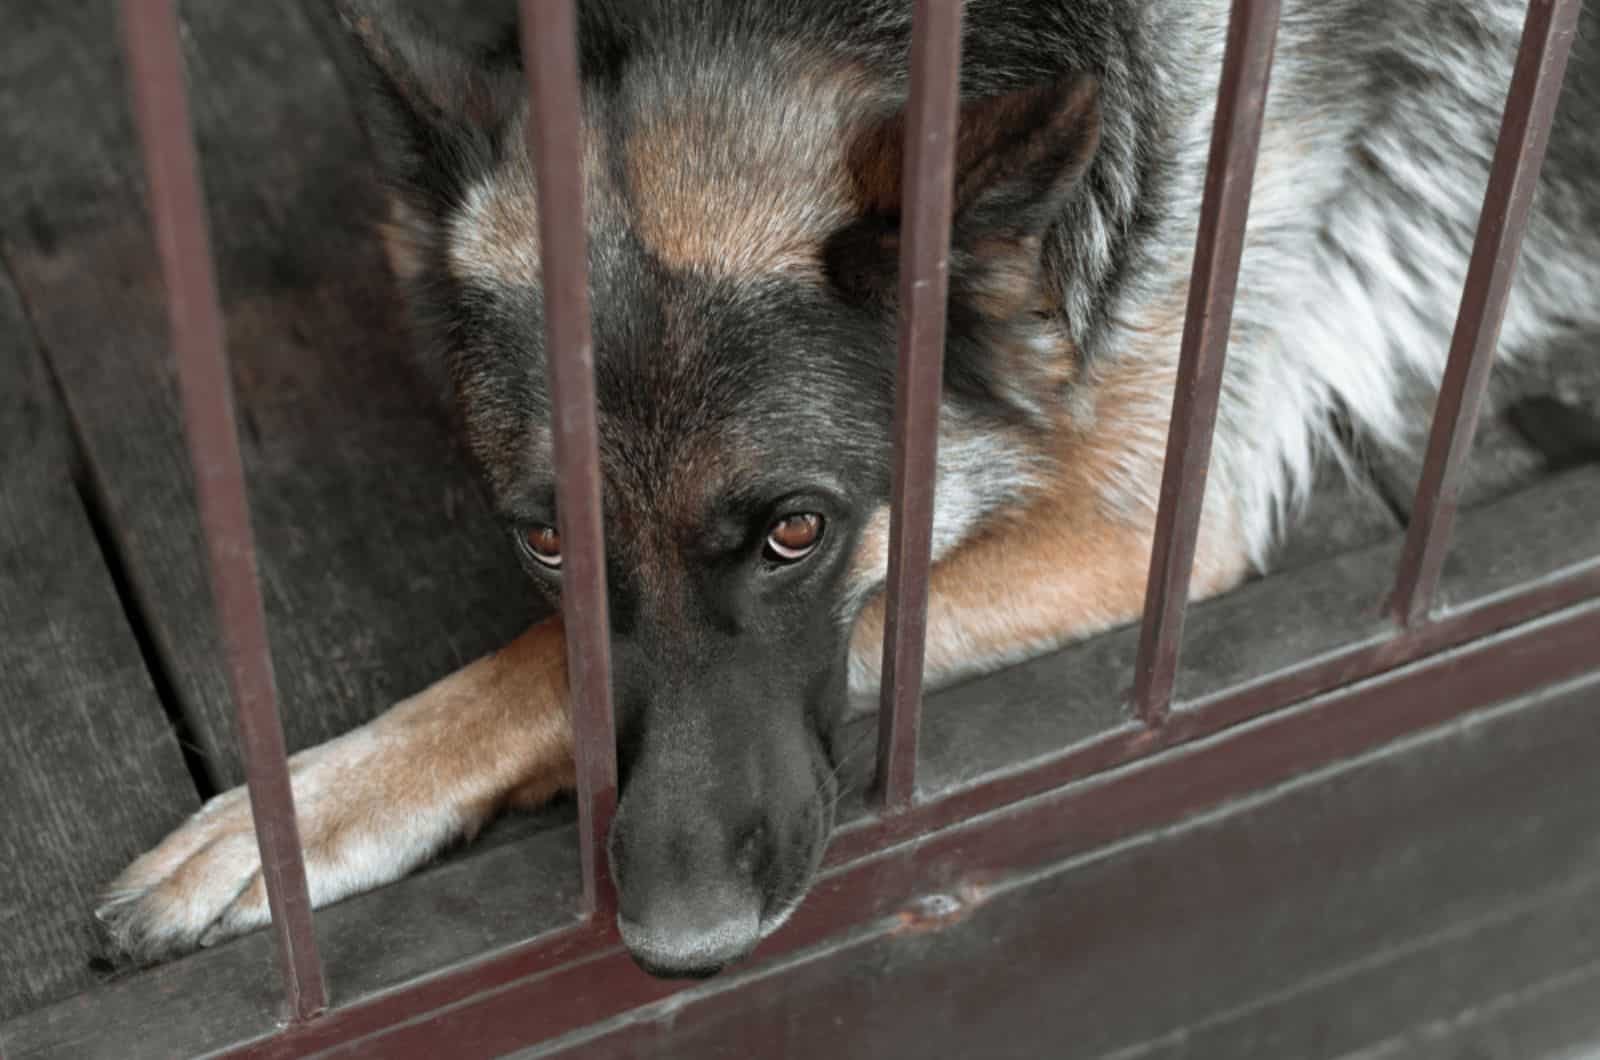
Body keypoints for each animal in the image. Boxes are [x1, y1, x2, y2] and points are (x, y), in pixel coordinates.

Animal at [103, 0, 1600, 979]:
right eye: (543, 540)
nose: (681, 947)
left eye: (799, 530)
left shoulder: (1138, 525)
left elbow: (546, 668)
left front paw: (298, 815)